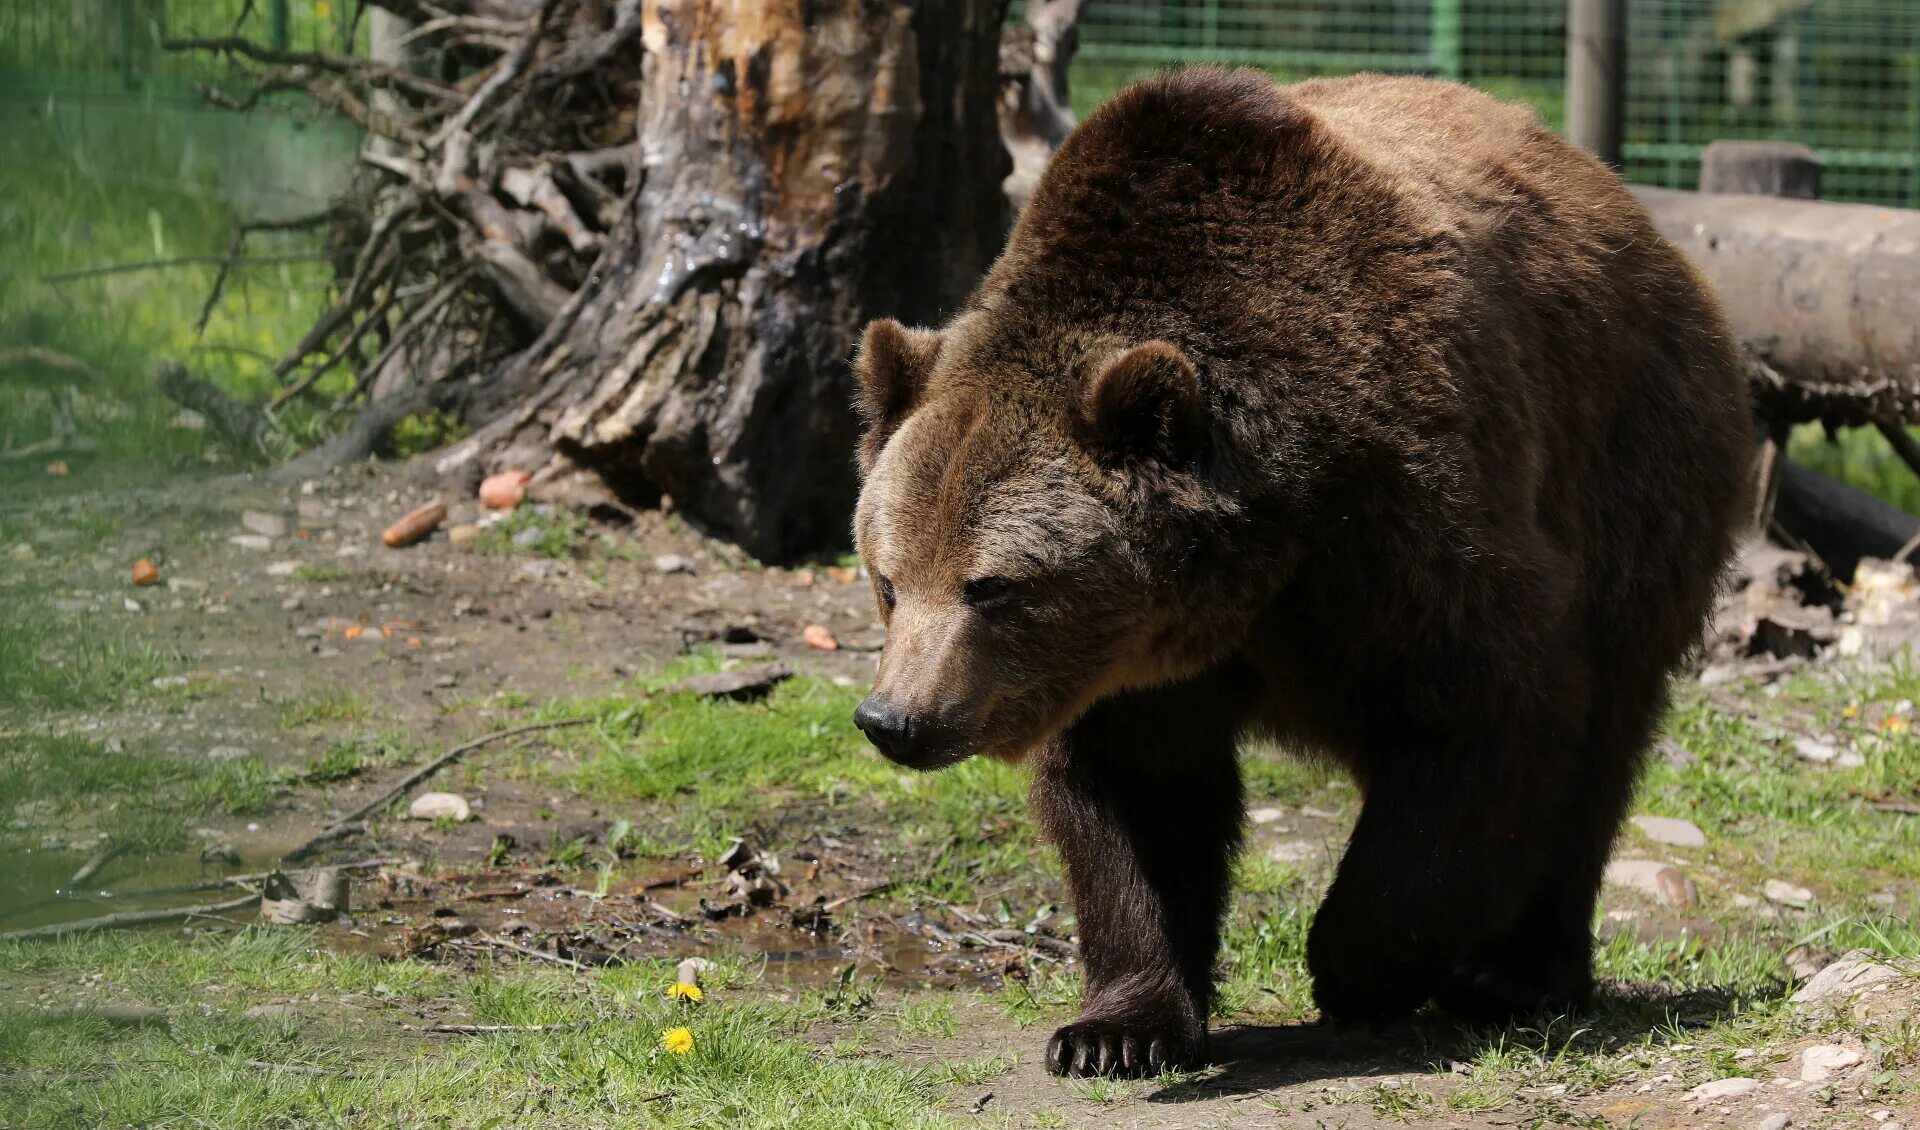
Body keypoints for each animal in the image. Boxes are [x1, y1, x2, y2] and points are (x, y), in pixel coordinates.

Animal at [848, 68, 1751, 1074]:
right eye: (888, 579)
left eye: (994, 587)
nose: (895, 719)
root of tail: (1636, 214)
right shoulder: (1130, 671)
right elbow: (1139, 806)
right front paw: (1114, 1030)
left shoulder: (1409, 520)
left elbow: (1490, 707)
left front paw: (1357, 967)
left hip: (1637, 472)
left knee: (1595, 751)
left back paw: (1513, 975)